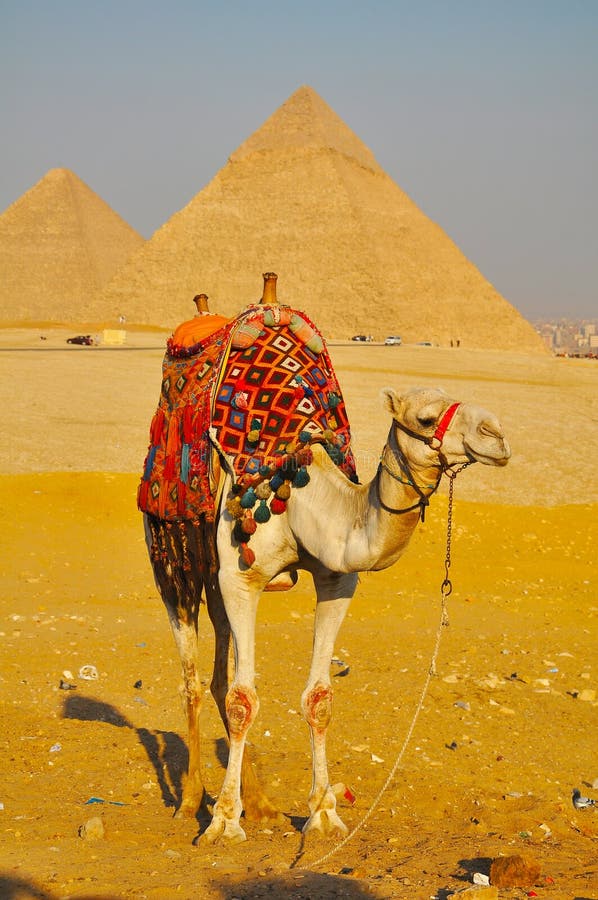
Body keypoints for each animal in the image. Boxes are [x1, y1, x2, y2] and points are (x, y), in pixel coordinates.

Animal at [142, 281, 510, 845]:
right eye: (425, 419)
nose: (496, 434)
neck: (301, 487)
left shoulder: (336, 579)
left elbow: (317, 698)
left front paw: (322, 813)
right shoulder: (242, 577)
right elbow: (245, 700)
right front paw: (222, 822)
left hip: (215, 581)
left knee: (221, 677)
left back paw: (262, 805)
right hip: (174, 559)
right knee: (194, 678)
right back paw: (190, 802)